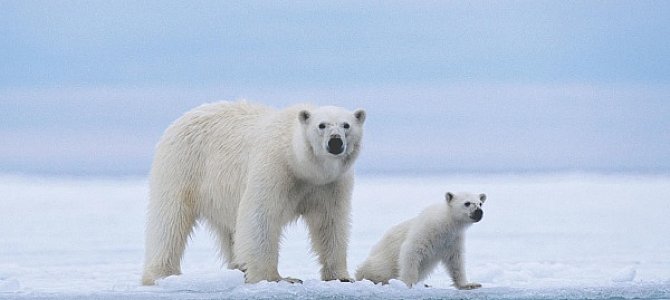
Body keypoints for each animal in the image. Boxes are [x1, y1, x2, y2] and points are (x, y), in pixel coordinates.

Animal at [141, 100, 368, 284]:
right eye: (321, 125)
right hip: (183, 165)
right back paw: (161, 274)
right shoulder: (275, 167)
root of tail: (181, 119)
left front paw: (342, 276)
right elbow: (260, 216)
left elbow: (330, 222)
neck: (301, 165)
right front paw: (277, 278)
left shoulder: (331, 185)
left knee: (230, 230)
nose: (335, 142)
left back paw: (238, 268)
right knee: (170, 220)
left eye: (346, 125)